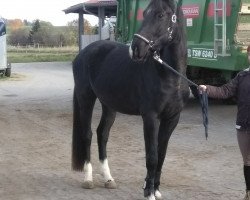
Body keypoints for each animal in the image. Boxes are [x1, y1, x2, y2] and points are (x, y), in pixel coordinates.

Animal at [71, 0, 188, 198]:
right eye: (145, 13)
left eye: (160, 15)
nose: (136, 48)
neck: (170, 76)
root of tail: (83, 54)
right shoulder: (150, 117)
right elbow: (152, 156)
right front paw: (148, 193)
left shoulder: (172, 118)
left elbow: (161, 155)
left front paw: (155, 189)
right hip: (85, 98)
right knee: (87, 134)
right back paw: (88, 179)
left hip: (109, 105)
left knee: (102, 134)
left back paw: (108, 179)